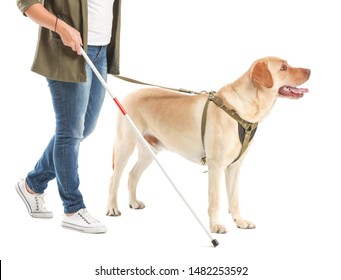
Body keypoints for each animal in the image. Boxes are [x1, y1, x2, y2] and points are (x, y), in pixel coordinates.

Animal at [107, 57, 310, 234]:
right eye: (283, 67)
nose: (309, 70)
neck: (240, 110)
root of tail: (129, 94)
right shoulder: (216, 166)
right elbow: (215, 201)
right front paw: (216, 226)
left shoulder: (235, 167)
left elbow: (234, 198)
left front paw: (240, 221)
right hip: (125, 145)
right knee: (114, 178)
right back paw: (112, 208)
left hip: (149, 151)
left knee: (132, 175)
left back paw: (133, 202)